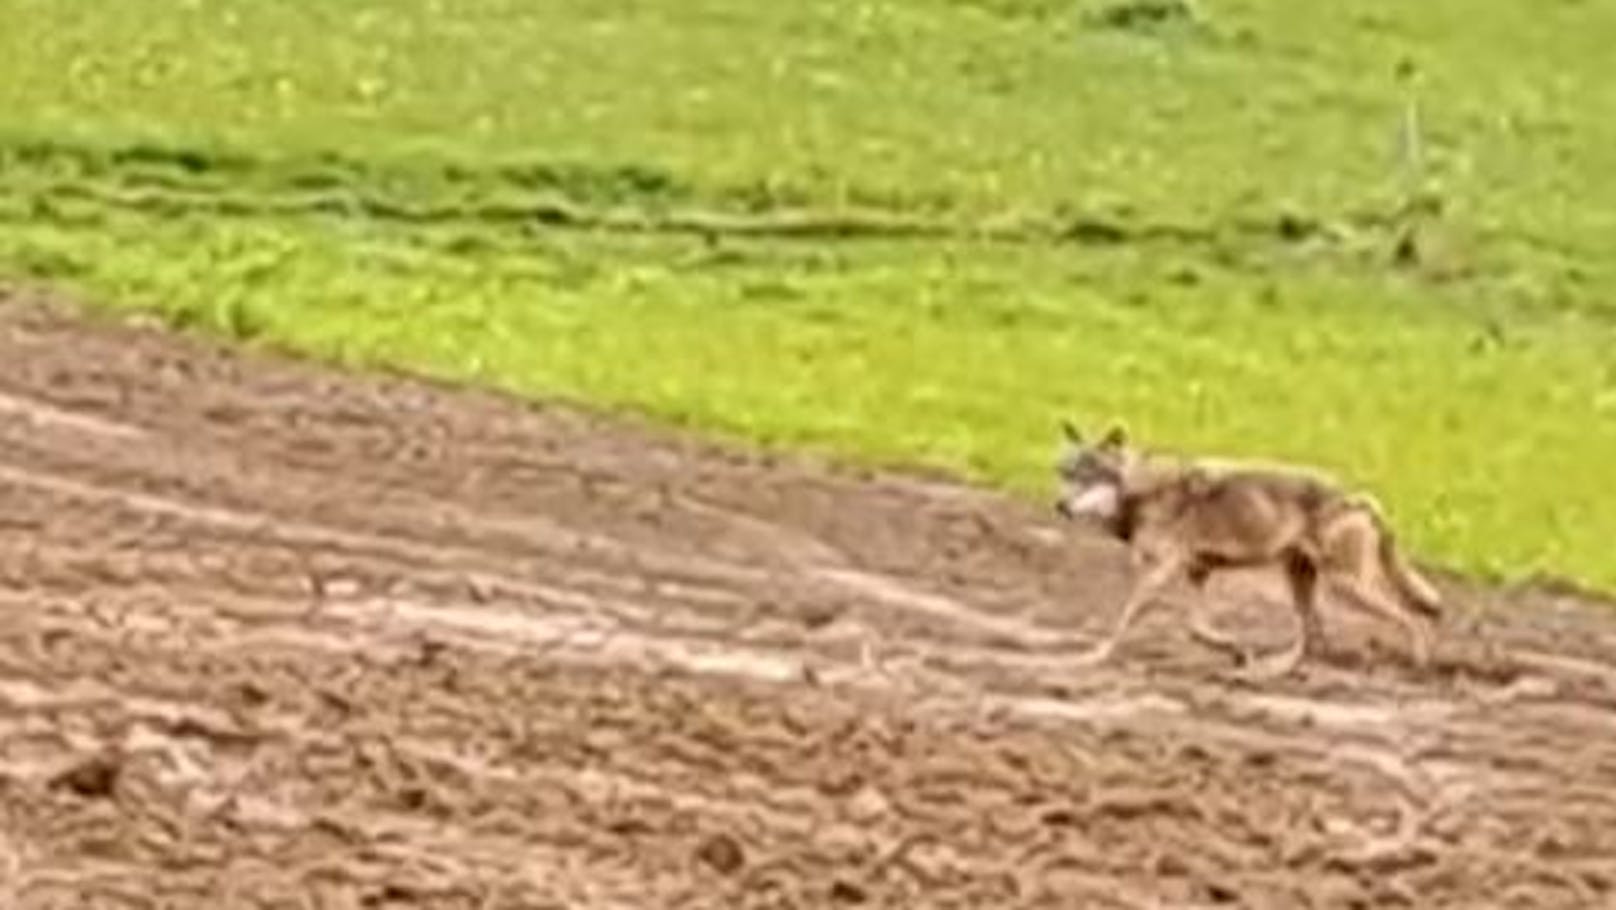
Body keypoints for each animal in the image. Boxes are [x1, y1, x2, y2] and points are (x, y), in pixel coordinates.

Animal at [1053, 423, 1447, 675]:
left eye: (1087, 478)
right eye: (1064, 475)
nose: (1059, 505)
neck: (1142, 490)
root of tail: (1358, 496)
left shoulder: (1162, 570)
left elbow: (1124, 621)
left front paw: (1093, 657)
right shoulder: (1197, 572)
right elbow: (1196, 627)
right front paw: (1237, 651)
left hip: (1347, 587)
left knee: (1410, 619)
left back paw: (1420, 667)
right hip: (1301, 581)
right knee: (1312, 637)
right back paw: (1270, 671)